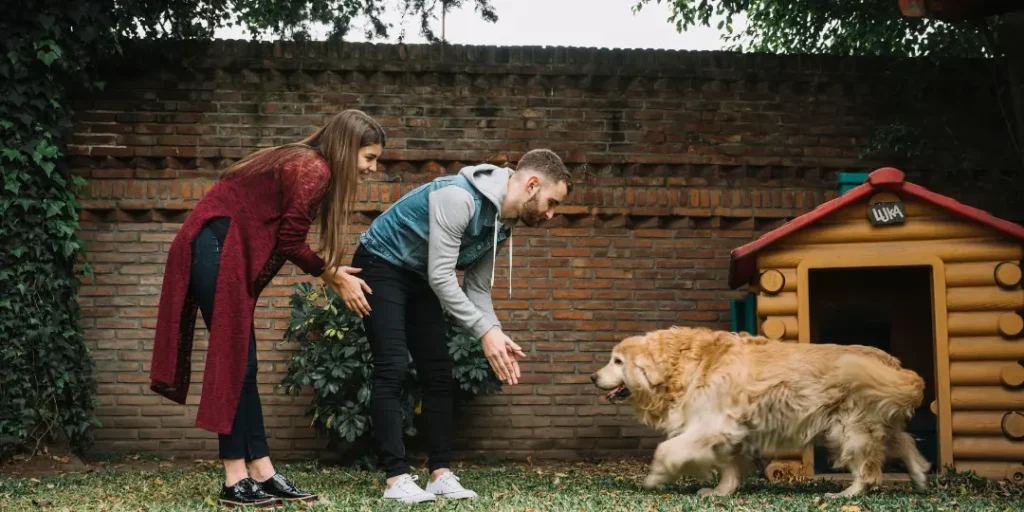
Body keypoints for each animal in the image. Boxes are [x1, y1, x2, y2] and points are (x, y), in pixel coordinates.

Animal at [589, 325, 933, 497]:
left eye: (617, 362)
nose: (593, 377)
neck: (684, 363)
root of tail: (894, 365)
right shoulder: (730, 432)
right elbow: (728, 467)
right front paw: (721, 492)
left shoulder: (711, 425)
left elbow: (665, 450)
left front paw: (656, 477)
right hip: (868, 425)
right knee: (903, 442)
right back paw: (919, 476)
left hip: (850, 430)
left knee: (870, 471)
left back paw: (847, 495)